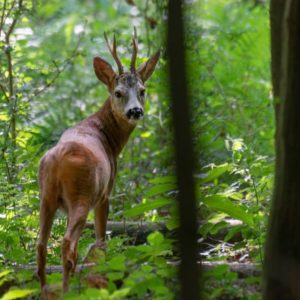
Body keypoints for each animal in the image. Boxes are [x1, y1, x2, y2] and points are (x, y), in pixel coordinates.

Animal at [36, 32, 161, 292]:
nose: (135, 111)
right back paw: (68, 291)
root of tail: (56, 162)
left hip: (46, 197)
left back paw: (45, 290)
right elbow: (101, 239)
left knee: (41, 245)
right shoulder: (105, 194)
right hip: (82, 196)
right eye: (118, 92)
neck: (109, 139)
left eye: (143, 90)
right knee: (67, 244)